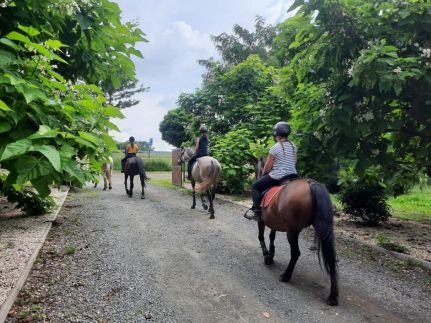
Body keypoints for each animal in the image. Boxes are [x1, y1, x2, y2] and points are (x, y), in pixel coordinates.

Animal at [253, 163, 338, 308]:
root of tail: (311, 184)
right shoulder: (274, 221)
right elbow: (271, 236)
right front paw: (271, 253)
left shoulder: (262, 220)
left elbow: (261, 237)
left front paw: (267, 256)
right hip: (322, 228)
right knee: (330, 258)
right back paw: (332, 296)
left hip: (292, 231)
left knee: (295, 253)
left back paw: (285, 276)